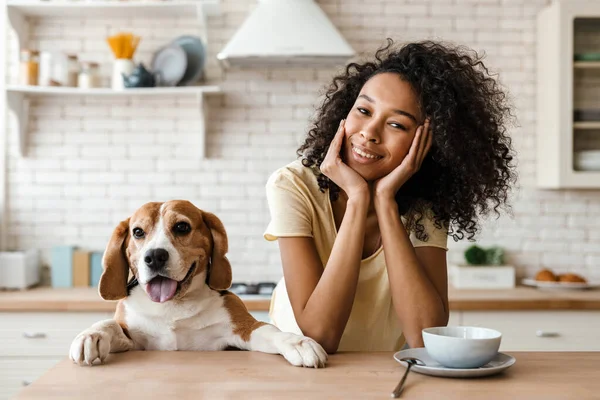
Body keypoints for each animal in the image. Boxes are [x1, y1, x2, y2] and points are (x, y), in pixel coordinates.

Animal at [70, 202, 328, 368]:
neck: (174, 305)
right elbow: (110, 324)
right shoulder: (133, 340)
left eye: (182, 227)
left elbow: (269, 330)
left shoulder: (242, 328)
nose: (154, 257)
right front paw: (90, 335)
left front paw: (297, 341)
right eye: (138, 232)